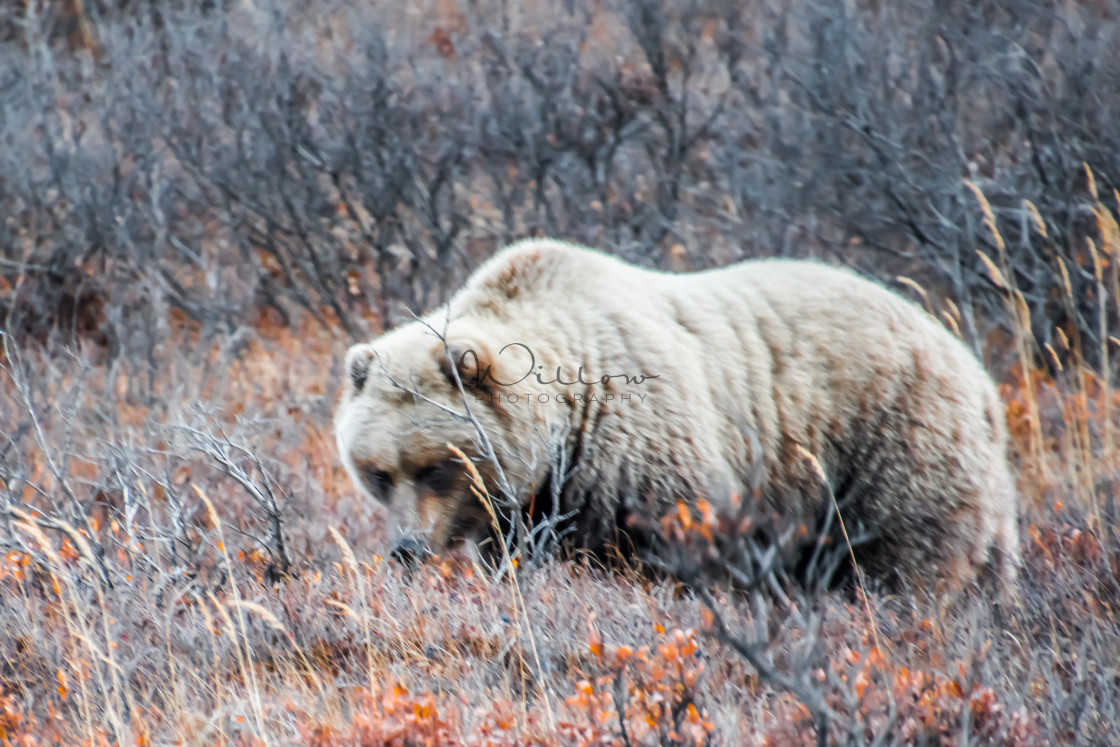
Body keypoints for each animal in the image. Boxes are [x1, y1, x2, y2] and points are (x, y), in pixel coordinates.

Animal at [329, 239, 1016, 595]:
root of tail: (975, 368)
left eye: (436, 466)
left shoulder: (642, 451)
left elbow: (682, 547)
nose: (407, 548)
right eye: (378, 472)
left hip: (890, 438)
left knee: (906, 558)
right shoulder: (529, 506)